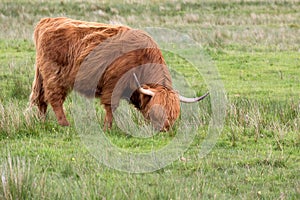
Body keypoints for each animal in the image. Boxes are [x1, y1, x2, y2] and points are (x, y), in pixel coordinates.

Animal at [29, 17, 209, 131]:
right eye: (156, 112)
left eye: (174, 115)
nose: (164, 130)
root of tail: (47, 20)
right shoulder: (113, 84)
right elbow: (111, 108)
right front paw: (107, 128)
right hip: (54, 75)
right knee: (54, 98)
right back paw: (65, 124)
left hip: (42, 74)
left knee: (41, 98)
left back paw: (42, 121)